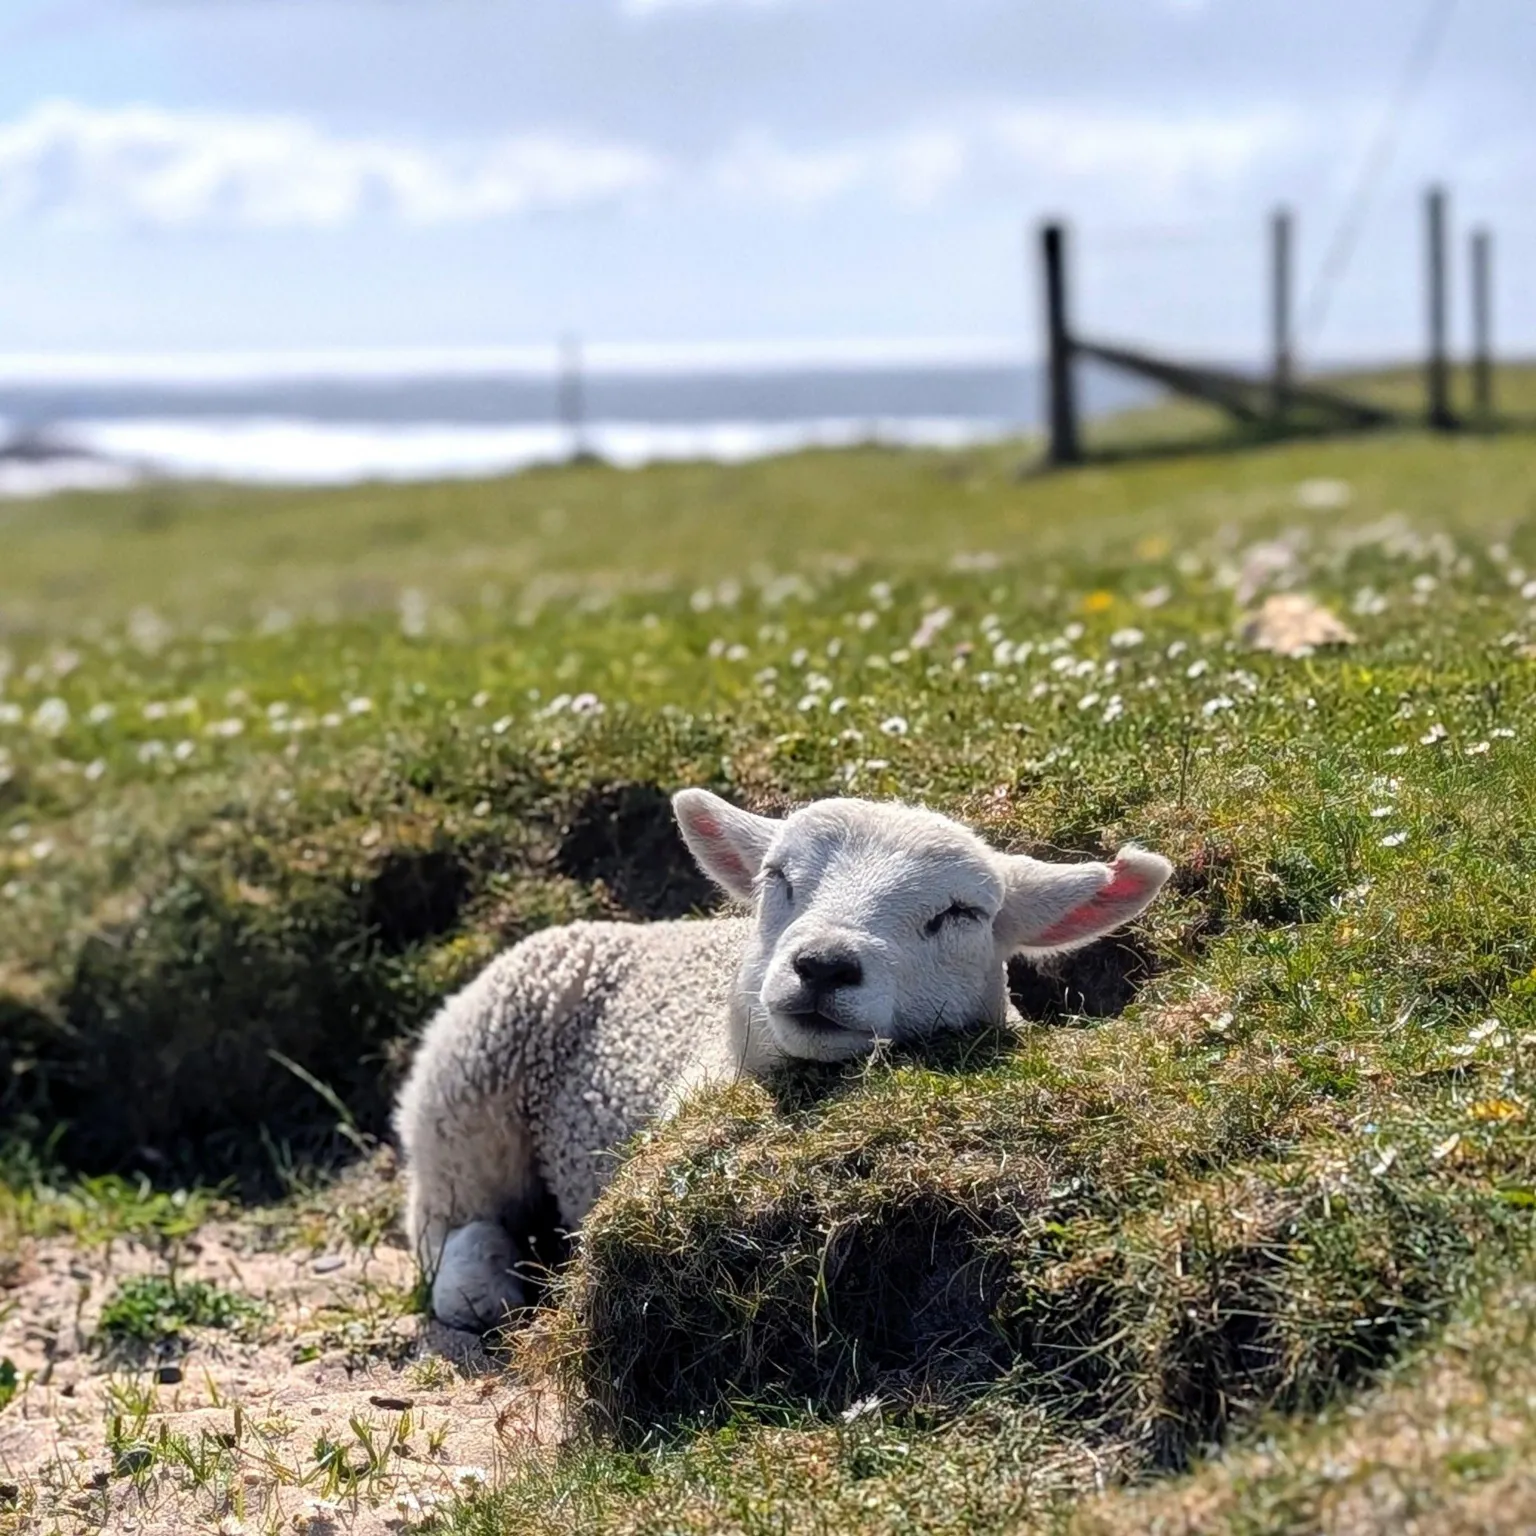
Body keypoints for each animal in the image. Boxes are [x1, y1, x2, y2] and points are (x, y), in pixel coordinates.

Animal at [394, 790, 1172, 1330]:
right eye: (779, 877)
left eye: (961, 914)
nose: (824, 965)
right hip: (465, 1083)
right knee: (442, 1217)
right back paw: (478, 1289)